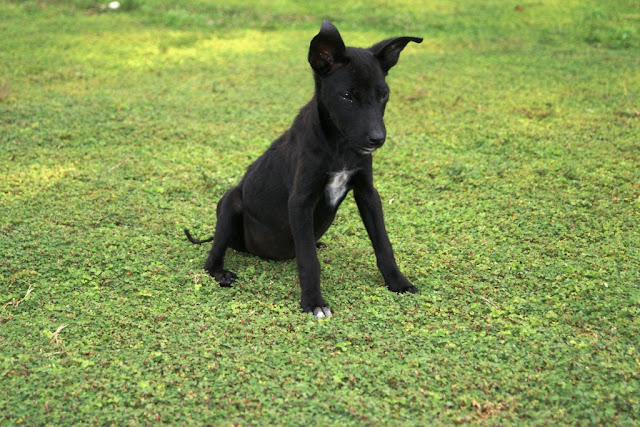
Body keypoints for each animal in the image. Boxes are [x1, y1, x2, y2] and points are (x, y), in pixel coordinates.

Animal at [185, 20, 422, 318]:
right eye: (347, 96)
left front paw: (398, 282)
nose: (377, 140)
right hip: (230, 202)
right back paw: (221, 273)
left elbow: (383, 243)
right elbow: (309, 260)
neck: (338, 146)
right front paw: (313, 302)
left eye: (384, 95)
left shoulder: (367, 193)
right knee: (212, 257)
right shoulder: (301, 201)